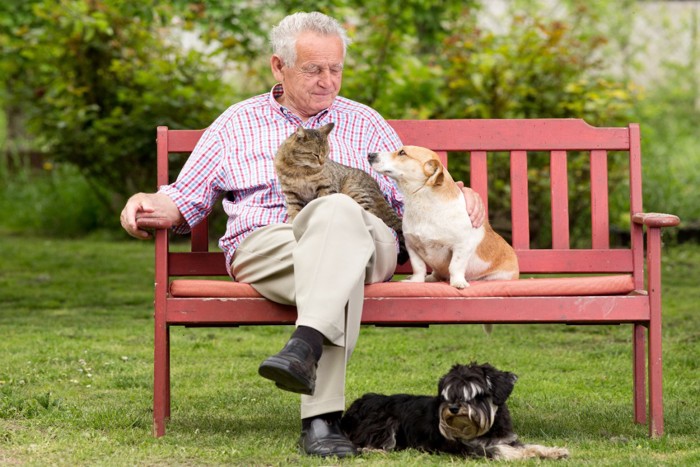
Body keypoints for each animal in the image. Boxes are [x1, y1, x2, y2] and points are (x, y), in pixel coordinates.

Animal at [340, 364, 568, 458]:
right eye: (448, 393)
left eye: (476, 394)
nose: (454, 408)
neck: (489, 429)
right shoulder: (468, 448)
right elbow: (500, 450)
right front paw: (523, 455)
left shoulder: (506, 438)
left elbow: (530, 445)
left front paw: (554, 451)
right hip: (385, 422)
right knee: (361, 443)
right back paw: (376, 450)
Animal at [370, 146, 516, 288]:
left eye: (402, 152)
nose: (370, 155)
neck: (423, 204)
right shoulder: (412, 246)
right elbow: (419, 267)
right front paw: (416, 281)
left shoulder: (462, 246)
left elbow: (455, 266)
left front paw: (458, 282)